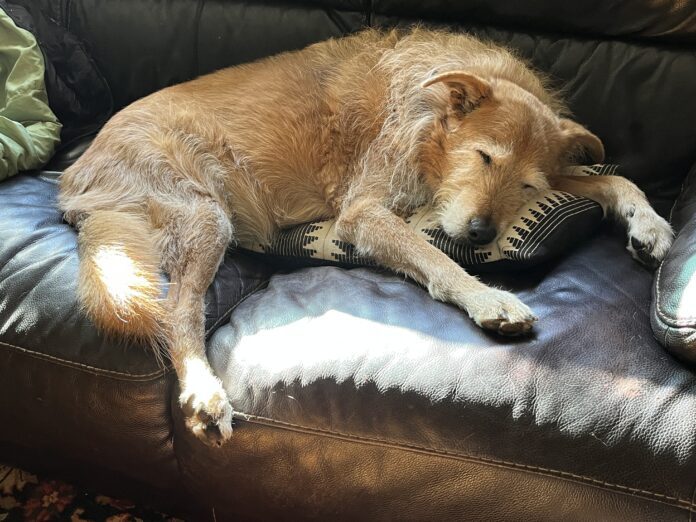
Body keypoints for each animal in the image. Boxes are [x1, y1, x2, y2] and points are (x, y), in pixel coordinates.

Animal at [59, 27, 676, 442]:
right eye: (483, 157)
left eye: (527, 185)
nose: (481, 234)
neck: (431, 130)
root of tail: (76, 176)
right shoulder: (364, 211)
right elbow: (436, 257)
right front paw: (488, 298)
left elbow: (615, 177)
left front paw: (651, 226)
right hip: (205, 216)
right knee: (178, 310)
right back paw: (204, 394)